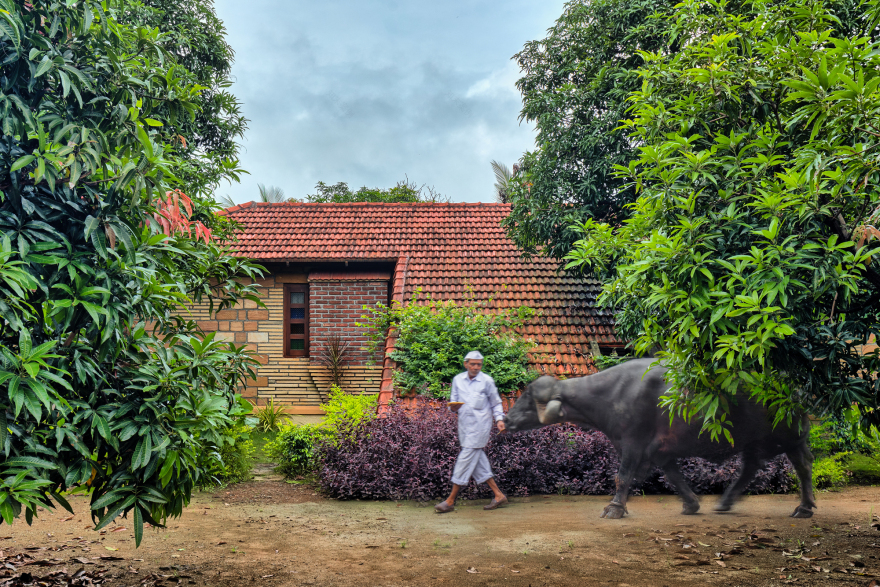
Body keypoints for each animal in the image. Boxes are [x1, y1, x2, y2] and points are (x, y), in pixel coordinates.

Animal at [506, 358, 816, 520]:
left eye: (528, 397)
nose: (506, 420)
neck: (611, 393)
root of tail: (793, 386)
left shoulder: (632, 443)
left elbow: (622, 476)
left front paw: (614, 508)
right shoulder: (660, 451)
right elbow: (674, 476)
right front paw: (691, 504)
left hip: (790, 437)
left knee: (802, 467)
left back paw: (804, 507)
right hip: (756, 441)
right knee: (751, 468)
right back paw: (726, 503)